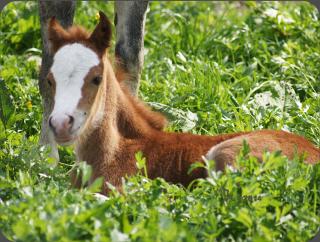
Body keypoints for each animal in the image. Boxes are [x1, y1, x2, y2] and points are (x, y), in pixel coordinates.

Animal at [46, 12, 318, 194]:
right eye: (49, 80)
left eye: (96, 78)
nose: (60, 124)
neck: (116, 148)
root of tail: (313, 151)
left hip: (225, 153)